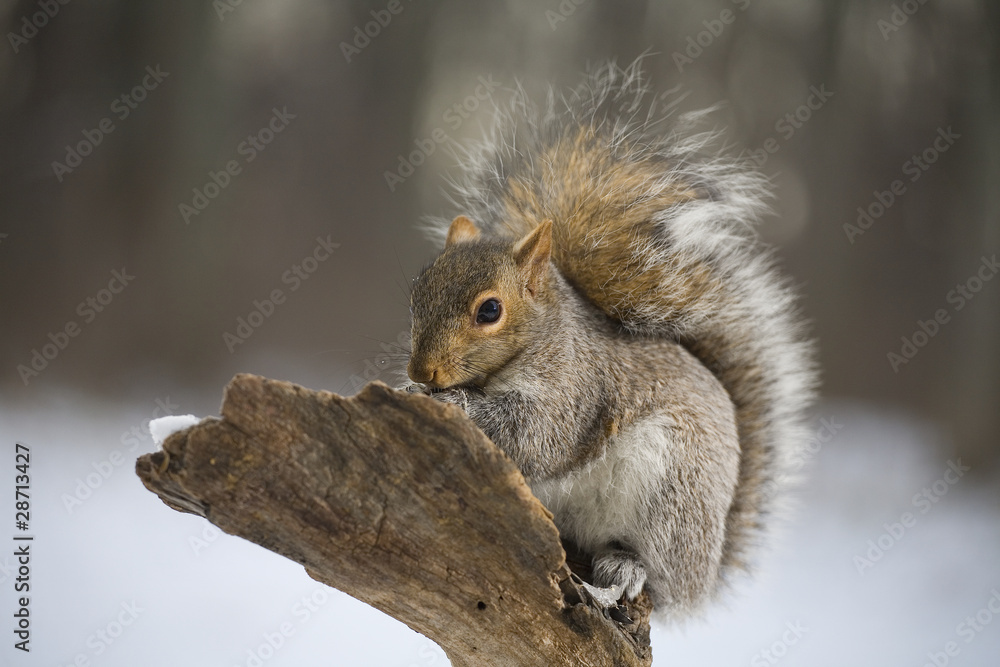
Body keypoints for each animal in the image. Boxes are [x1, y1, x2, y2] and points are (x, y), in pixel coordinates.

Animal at [402, 61, 816, 619]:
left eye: (490, 310)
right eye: (416, 293)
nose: (421, 371)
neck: (541, 339)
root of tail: (707, 569)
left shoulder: (575, 389)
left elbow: (536, 435)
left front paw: (452, 401)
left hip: (672, 499)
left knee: (656, 582)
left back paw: (618, 577)